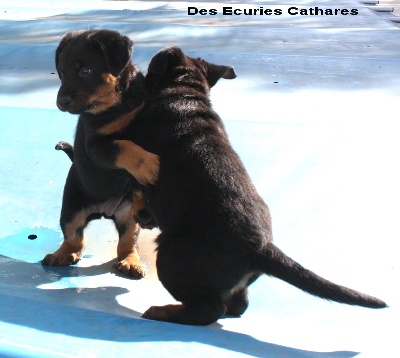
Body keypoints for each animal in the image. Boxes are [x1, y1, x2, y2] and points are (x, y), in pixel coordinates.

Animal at [41, 29, 159, 278]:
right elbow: (123, 145)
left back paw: (131, 262)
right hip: (71, 207)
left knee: (126, 244)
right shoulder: (97, 147)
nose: (60, 103)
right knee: (75, 238)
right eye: (62, 73)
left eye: (85, 71)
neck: (117, 104)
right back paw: (62, 254)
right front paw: (148, 165)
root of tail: (105, 211)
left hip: (128, 216)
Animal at [126, 46, 388, 324]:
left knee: (208, 309)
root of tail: (261, 249)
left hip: (172, 256)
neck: (185, 89)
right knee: (239, 304)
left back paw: (162, 312)